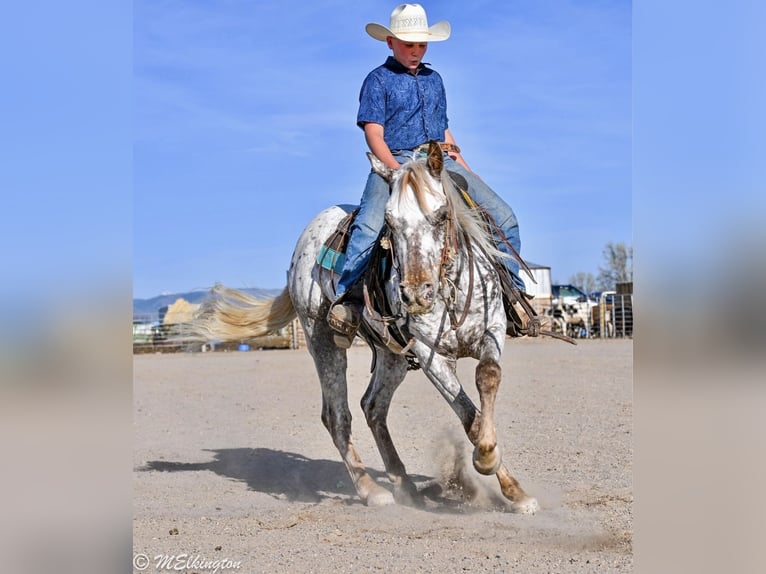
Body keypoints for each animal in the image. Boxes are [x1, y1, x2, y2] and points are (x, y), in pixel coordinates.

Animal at [188, 141, 539, 513]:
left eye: (442, 215)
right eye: (390, 222)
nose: (416, 294)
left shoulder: (492, 330)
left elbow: (487, 377)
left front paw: (513, 488)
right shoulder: (430, 354)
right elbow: (469, 416)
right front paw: (489, 463)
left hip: (392, 355)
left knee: (373, 406)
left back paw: (405, 485)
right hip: (322, 339)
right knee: (337, 415)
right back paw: (372, 489)